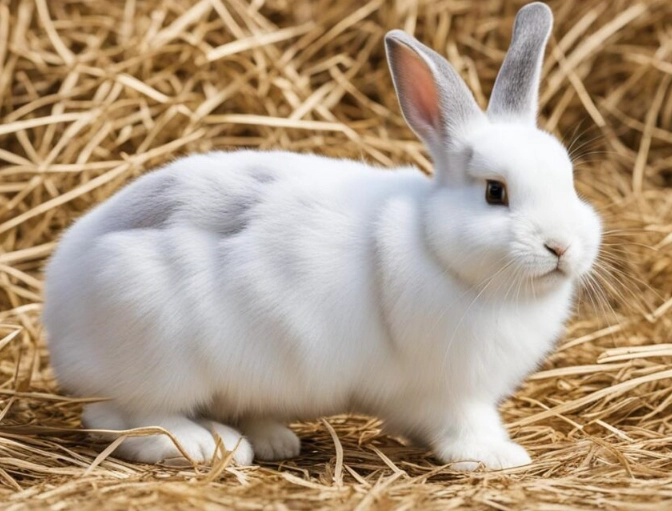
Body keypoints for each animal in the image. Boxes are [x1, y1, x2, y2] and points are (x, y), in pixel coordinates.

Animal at [43, 2, 601, 470]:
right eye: (494, 192)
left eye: (570, 181)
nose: (561, 247)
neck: (435, 248)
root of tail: (59, 299)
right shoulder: (450, 393)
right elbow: (465, 425)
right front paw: (500, 456)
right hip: (158, 355)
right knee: (124, 419)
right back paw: (209, 445)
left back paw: (272, 438)